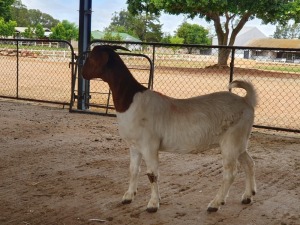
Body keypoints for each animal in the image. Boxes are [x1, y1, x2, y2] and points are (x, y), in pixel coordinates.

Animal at [82, 44, 258, 213]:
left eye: (91, 57)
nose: (82, 73)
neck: (131, 101)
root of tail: (246, 101)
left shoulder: (149, 145)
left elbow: (152, 175)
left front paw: (153, 204)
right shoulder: (134, 146)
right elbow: (133, 170)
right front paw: (128, 196)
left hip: (231, 140)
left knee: (230, 173)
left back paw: (215, 204)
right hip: (240, 143)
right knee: (249, 163)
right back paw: (248, 196)